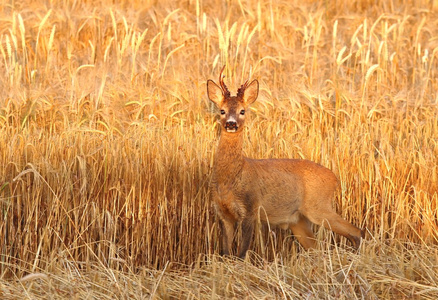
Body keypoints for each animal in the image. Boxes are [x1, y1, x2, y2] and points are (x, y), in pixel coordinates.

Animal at [207, 67, 364, 258]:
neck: (231, 178)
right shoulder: (223, 213)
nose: (231, 123)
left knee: (356, 231)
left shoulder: (250, 209)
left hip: (318, 206)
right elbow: (225, 252)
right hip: (298, 220)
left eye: (242, 111)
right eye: (222, 110)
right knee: (316, 247)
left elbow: (242, 253)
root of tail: (334, 178)